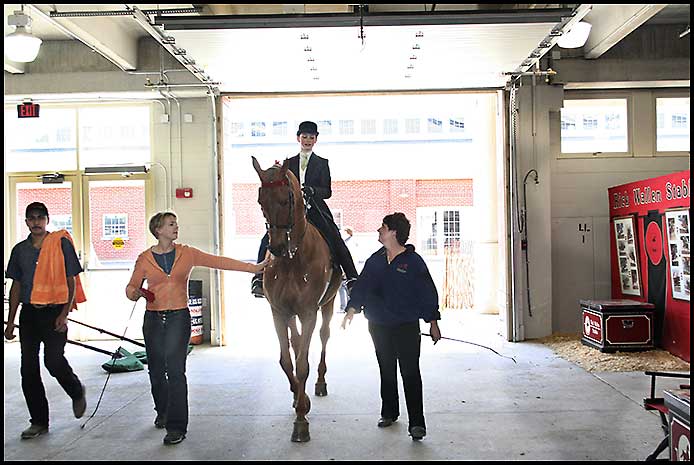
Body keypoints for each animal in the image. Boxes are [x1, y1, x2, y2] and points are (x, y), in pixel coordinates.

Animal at [254, 157, 344, 442]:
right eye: (261, 201)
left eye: (286, 200)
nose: (276, 248)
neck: (292, 259)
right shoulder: (278, 312)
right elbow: (286, 360)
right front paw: (297, 398)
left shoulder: (308, 312)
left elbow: (303, 363)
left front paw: (301, 420)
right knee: (295, 342)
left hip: (328, 304)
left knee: (324, 337)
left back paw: (320, 383)